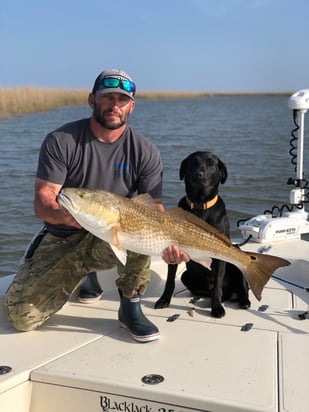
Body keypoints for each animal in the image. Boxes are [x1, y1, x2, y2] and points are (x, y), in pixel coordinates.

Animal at [155, 153, 249, 318]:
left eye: (211, 163)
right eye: (193, 162)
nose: (199, 175)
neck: (199, 205)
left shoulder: (220, 255)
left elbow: (217, 285)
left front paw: (217, 308)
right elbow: (170, 280)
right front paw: (164, 300)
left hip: (237, 262)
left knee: (241, 289)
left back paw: (242, 300)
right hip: (186, 276)